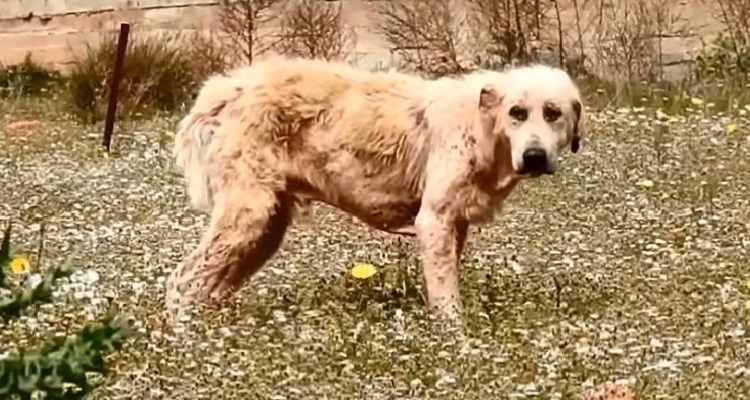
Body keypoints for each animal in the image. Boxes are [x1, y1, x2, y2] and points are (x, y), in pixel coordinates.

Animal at [166, 55, 588, 324]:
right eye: (517, 113)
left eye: (554, 113)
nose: (534, 156)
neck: (482, 126)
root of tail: (227, 87)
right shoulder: (434, 221)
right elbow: (446, 297)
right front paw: (457, 342)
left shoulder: (453, 227)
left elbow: (443, 282)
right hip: (248, 217)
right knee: (182, 281)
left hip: (264, 229)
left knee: (211, 287)